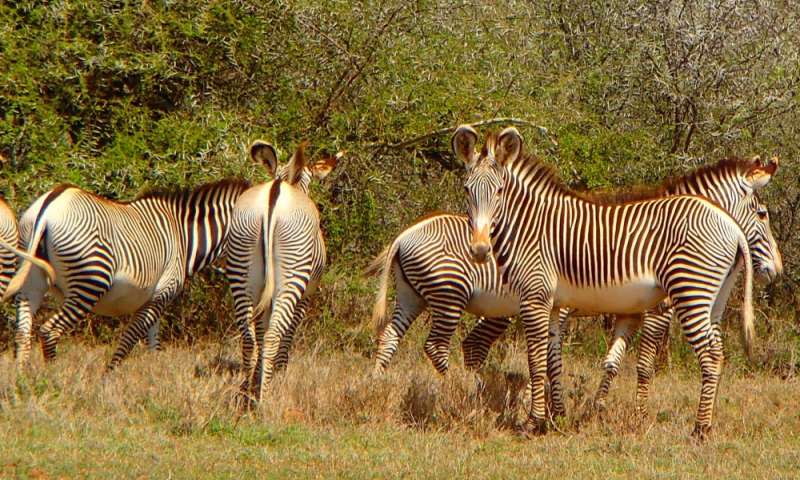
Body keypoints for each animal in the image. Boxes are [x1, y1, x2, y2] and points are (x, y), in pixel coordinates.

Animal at [0, 178, 250, 370]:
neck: (185, 238)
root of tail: (50, 206)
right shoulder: (161, 293)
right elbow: (130, 339)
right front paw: (108, 377)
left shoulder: (155, 299)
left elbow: (153, 343)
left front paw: (153, 377)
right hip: (91, 281)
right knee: (50, 330)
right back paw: (53, 379)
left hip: (32, 277)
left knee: (23, 332)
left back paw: (25, 382)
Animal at [223, 140, 340, 402]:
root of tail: (275, 191)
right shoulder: (306, 296)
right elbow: (287, 336)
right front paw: (279, 373)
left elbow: (260, 329)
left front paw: (259, 376)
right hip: (292, 276)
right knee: (274, 335)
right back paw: (263, 399)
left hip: (241, 268)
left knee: (250, 337)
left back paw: (246, 392)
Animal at [456, 125, 780, 436]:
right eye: (466, 190)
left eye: (499, 191)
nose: (776, 269)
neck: (529, 226)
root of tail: (729, 224)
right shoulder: (554, 302)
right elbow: (558, 362)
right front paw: (559, 416)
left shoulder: (545, 299)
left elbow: (552, 362)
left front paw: (540, 421)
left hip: (692, 292)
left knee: (712, 356)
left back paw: (700, 429)